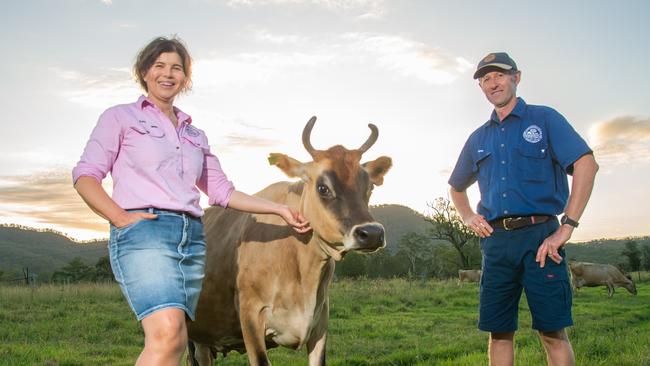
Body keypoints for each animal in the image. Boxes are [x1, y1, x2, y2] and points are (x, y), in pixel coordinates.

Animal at [185, 118, 392, 366]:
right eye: (323, 187)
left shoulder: (320, 321)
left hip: (203, 336)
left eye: (369, 188)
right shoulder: (250, 317)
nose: (372, 233)